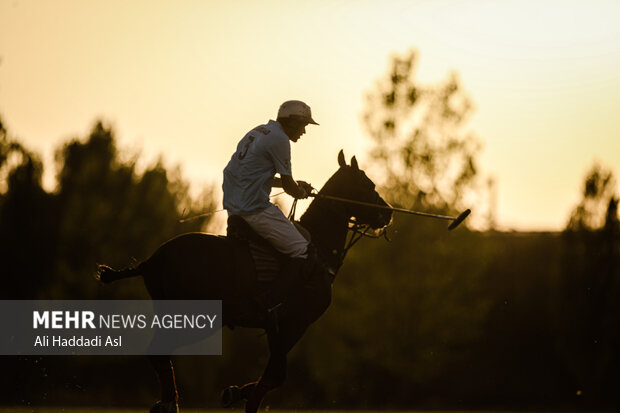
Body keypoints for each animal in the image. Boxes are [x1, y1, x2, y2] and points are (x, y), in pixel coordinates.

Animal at [100, 151, 394, 412]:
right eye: (368, 184)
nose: (389, 212)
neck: (320, 249)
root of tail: (153, 260)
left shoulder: (278, 325)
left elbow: (272, 375)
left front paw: (233, 393)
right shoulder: (295, 322)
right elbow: (275, 376)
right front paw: (236, 394)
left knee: (159, 353)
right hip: (192, 316)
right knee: (160, 352)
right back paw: (169, 404)